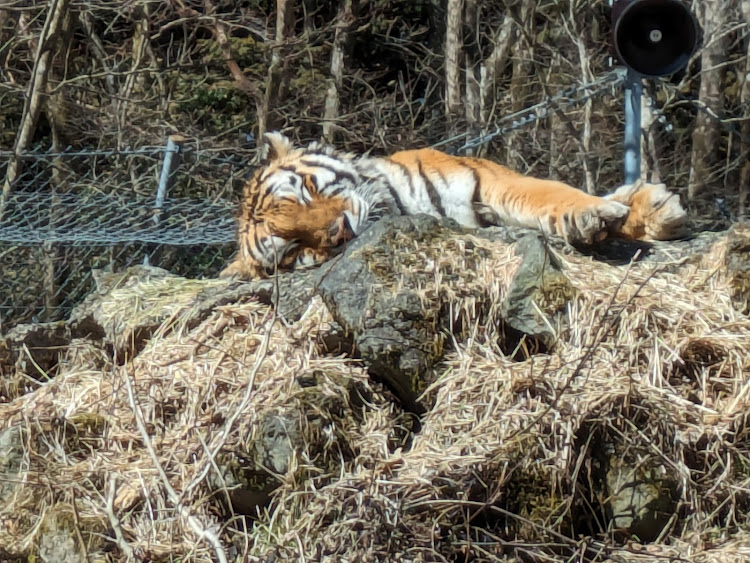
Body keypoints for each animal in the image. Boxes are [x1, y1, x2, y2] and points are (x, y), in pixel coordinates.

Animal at [220, 133, 692, 282]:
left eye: (305, 189)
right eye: (292, 249)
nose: (340, 231)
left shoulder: (490, 181)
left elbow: (548, 193)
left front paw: (594, 214)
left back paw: (656, 206)